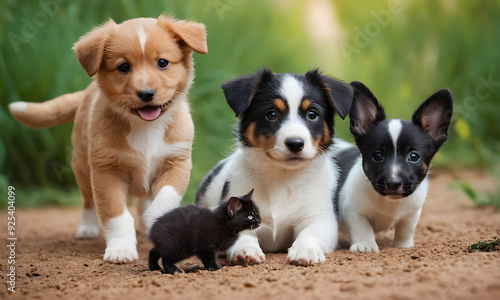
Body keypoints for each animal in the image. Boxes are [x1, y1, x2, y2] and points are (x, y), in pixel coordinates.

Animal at [8, 15, 207, 264]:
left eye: (163, 62)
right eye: (124, 67)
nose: (146, 93)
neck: (145, 127)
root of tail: (86, 92)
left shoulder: (177, 162)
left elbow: (165, 197)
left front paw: (152, 218)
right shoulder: (106, 171)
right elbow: (116, 215)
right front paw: (121, 249)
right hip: (82, 168)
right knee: (87, 201)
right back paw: (87, 228)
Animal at [193, 69, 354, 266]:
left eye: (312, 114)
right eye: (271, 114)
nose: (295, 144)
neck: (282, 176)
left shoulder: (320, 217)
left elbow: (310, 233)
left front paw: (305, 250)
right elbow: (242, 235)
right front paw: (246, 250)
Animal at [332, 81, 454, 253]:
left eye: (414, 157)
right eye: (377, 156)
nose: (393, 183)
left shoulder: (412, 214)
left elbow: (406, 229)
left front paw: (403, 245)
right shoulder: (353, 212)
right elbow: (362, 228)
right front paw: (366, 245)